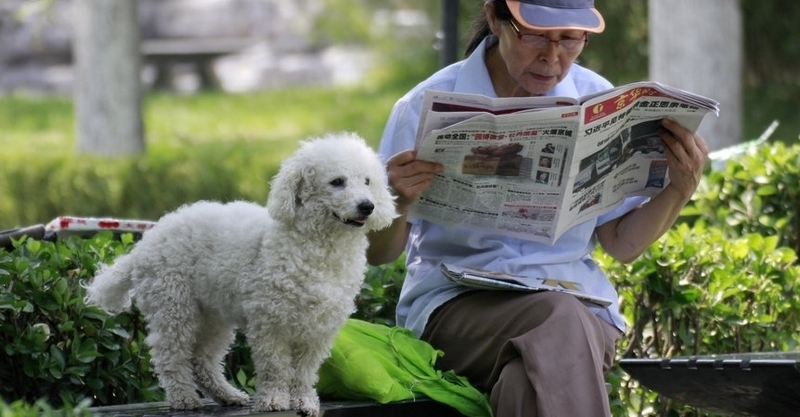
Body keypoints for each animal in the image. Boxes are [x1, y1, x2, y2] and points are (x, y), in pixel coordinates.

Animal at [84, 132, 396, 414]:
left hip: (212, 315)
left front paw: (304, 401)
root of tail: (146, 243)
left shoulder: (318, 329)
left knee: (203, 360)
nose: (368, 206)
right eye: (337, 182)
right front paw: (274, 400)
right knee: (170, 355)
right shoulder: (270, 321)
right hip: (174, 306)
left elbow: (305, 371)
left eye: (367, 181)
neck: (318, 250)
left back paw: (228, 395)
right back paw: (184, 398)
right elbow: (275, 366)